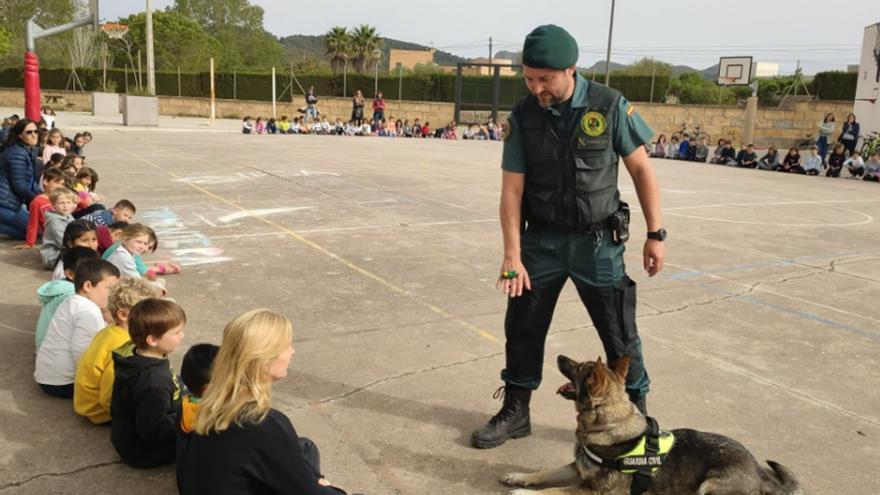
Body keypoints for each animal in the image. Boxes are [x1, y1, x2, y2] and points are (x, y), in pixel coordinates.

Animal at [498, 356, 800, 495]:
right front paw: (519, 477)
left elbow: (553, 490)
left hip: (710, 485)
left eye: (578, 367)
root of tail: (757, 469)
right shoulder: (577, 469)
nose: (559, 356)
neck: (609, 427)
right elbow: (545, 473)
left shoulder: (592, 491)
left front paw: (522, 491)